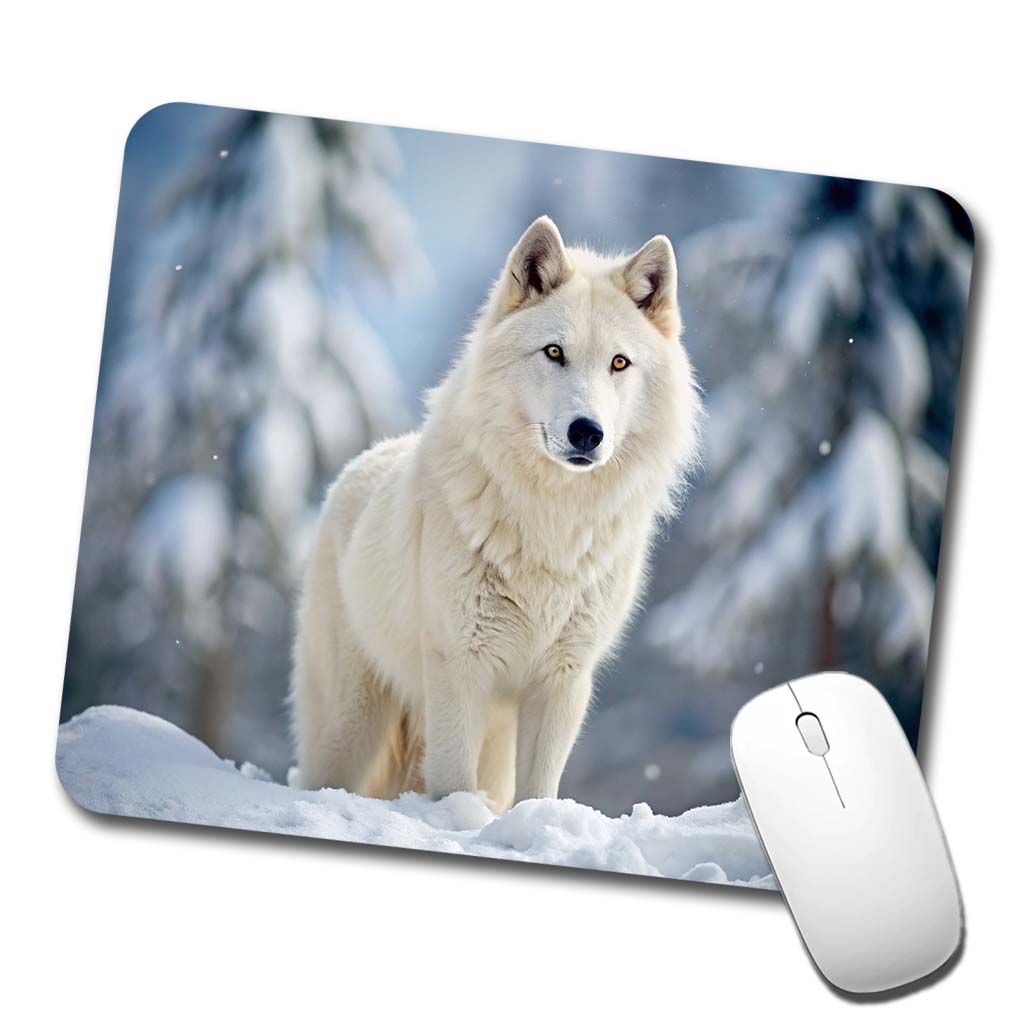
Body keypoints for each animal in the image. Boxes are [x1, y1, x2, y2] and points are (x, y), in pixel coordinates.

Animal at [290, 215, 701, 811]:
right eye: (554, 352)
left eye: (619, 363)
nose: (588, 432)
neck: (552, 522)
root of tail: (360, 463)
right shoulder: (460, 665)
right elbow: (453, 785)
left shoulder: (562, 679)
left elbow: (538, 792)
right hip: (351, 726)